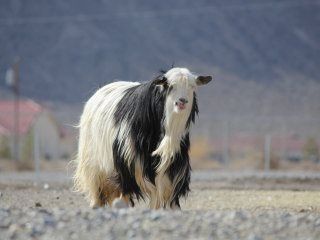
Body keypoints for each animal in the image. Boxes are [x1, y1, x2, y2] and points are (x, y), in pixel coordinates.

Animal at [74, 67, 212, 208]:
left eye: (192, 87)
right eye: (169, 86)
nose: (182, 102)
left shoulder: (172, 171)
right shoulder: (125, 166)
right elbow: (124, 193)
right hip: (94, 166)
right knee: (98, 192)